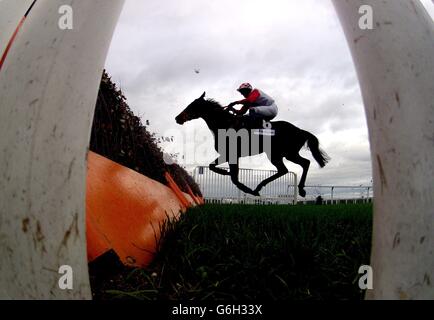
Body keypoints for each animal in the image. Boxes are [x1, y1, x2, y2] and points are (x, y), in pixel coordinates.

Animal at [174, 92, 328, 198]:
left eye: (193, 106)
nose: (177, 118)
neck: (225, 124)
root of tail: (299, 130)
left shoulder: (232, 155)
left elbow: (234, 178)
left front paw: (244, 188)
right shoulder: (227, 155)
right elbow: (214, 167)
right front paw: (226, 172)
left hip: (280, 153)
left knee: (293, 167)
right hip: (285, 154)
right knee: (297, 165)